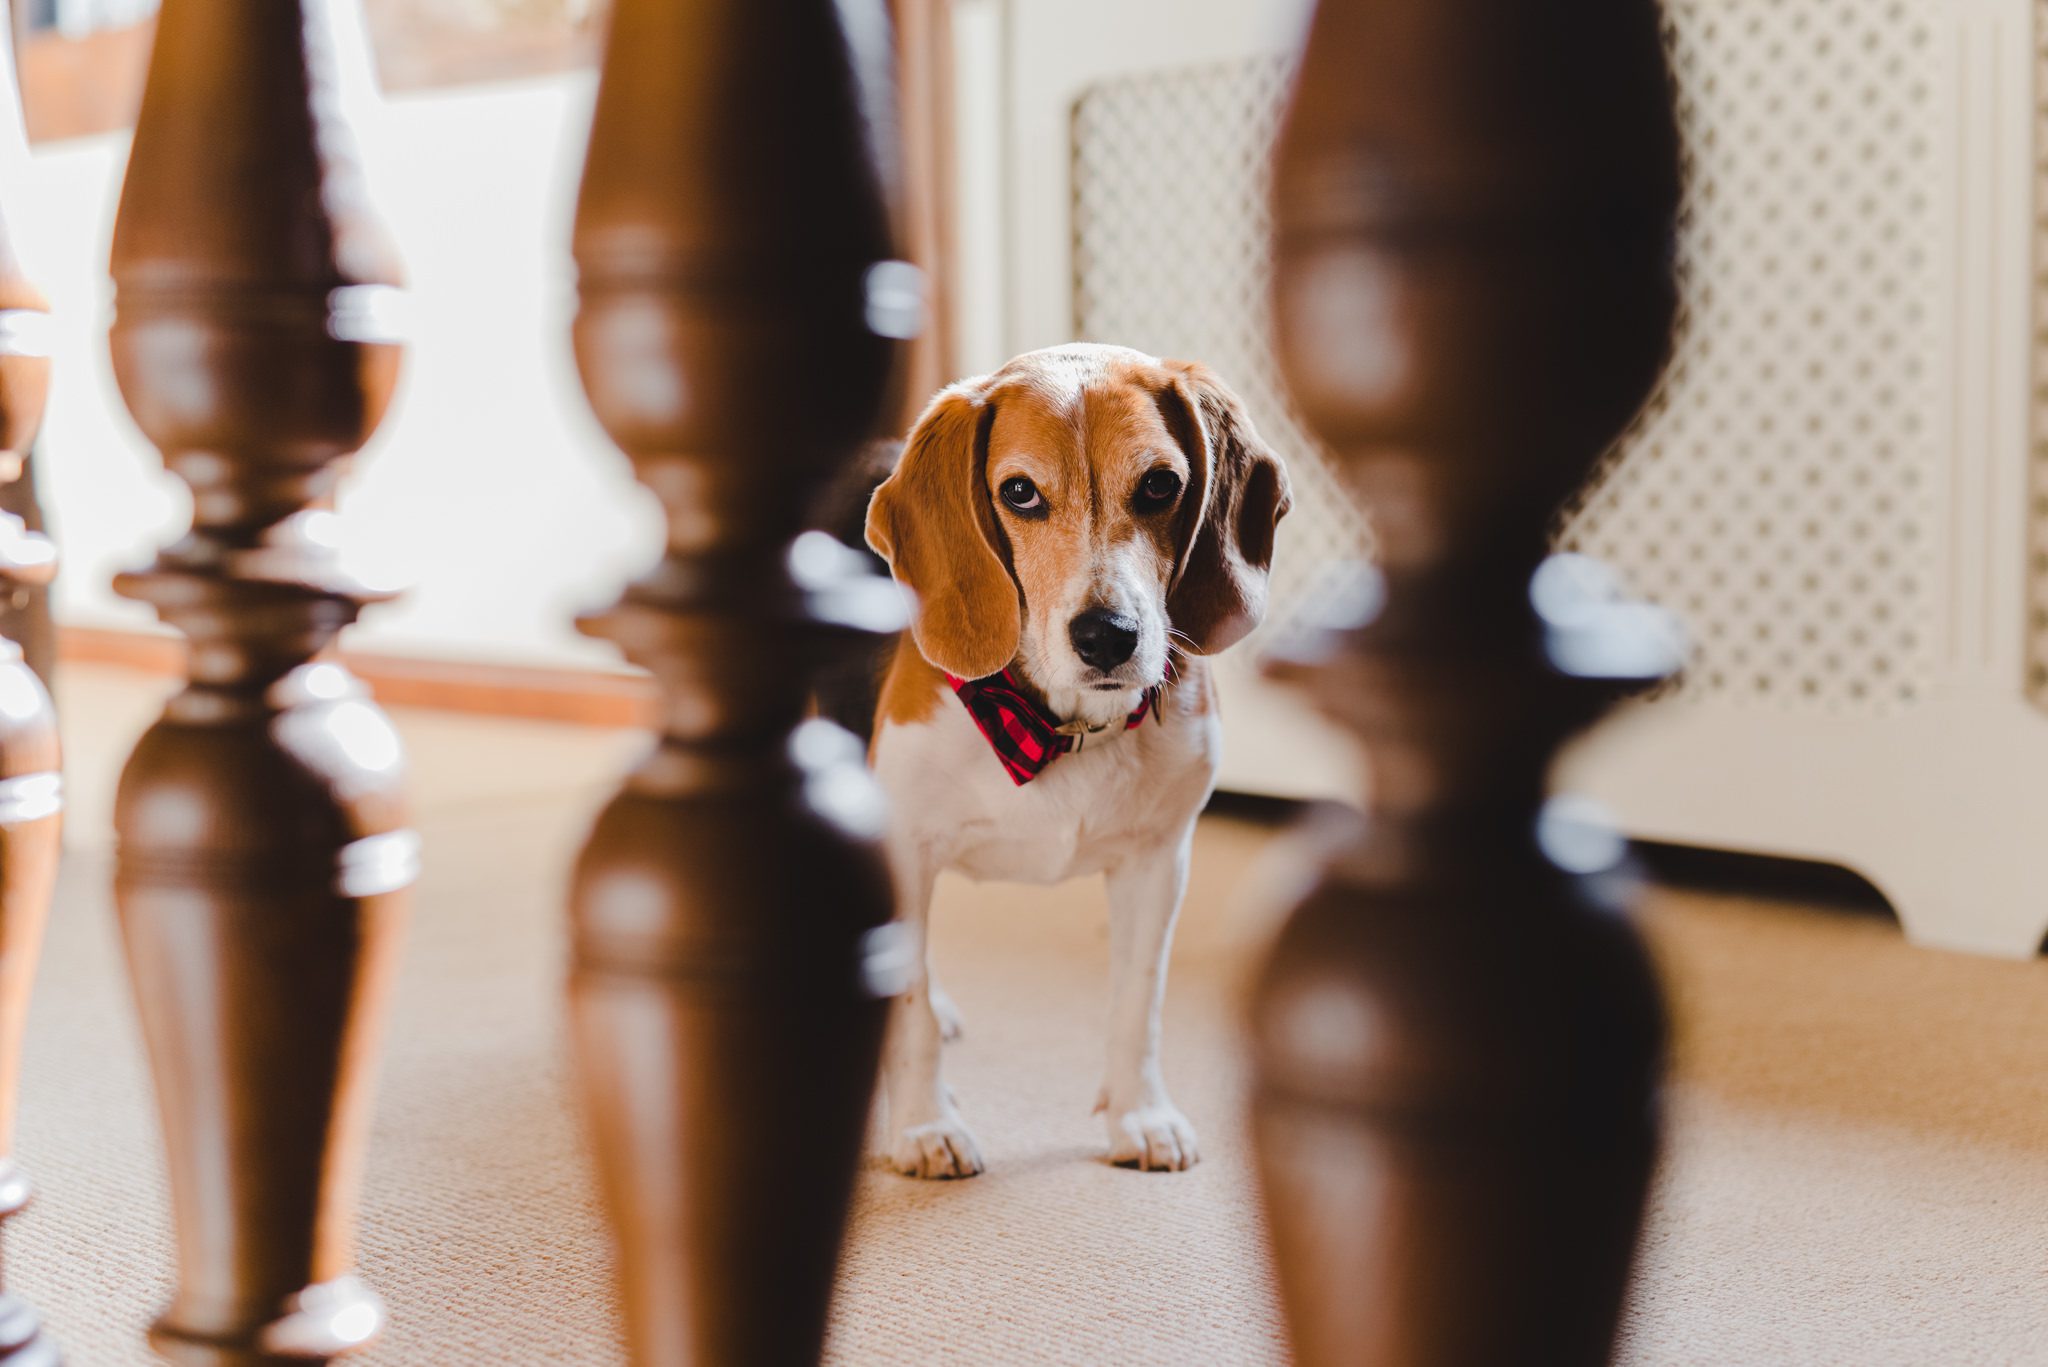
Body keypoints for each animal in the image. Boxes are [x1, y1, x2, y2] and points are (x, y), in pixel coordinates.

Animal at [860, 342, 1277, 1180]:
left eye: (1161, 484)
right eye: (1019, 492)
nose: (1108, 635)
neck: (1059, 723)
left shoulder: (1159, 861)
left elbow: (1138, 1004)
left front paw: (1139, 1115)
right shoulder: (906, 851)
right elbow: (910, 1010)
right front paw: (923, 1125)